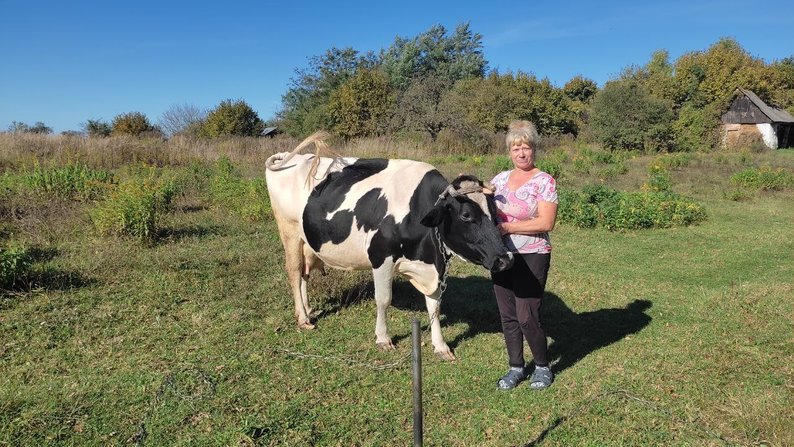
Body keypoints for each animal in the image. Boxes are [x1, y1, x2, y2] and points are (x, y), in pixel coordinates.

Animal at [264, 132, 512, 360]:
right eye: (466, 215)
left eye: (495, 212)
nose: (505, 259)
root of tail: (290, 157)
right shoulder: (381, 256)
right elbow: (383, 300)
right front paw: (383, 338)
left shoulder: (434, 264)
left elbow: (434, 305)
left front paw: (440, 346)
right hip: (289, 231)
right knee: (294, 271)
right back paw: (303, 318)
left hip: (306, 241)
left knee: (304, 274)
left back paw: (307, 310)